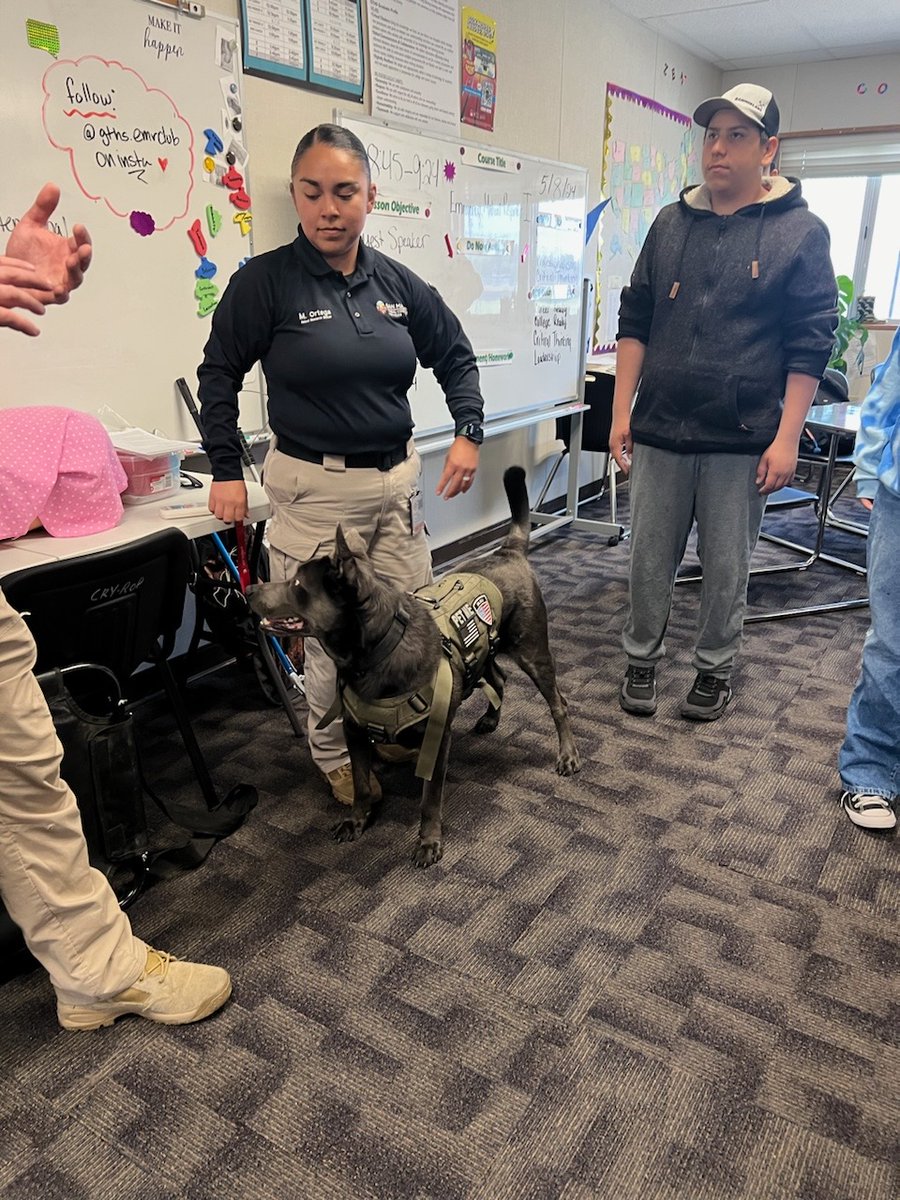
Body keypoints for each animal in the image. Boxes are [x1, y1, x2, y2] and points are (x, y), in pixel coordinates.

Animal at [250, 463, 580, 868]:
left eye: (297, 585)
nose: (250, 590)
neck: (376, 653)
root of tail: (509, 550)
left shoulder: (436, 740)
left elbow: (429, 800)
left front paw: (428, 841)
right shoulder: (354, 733)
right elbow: (361, 784)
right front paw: (357, 821)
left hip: (533, 650)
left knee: (558, 703)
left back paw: (567, 755)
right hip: (483, 648)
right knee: (498, 677)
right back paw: (490, 719)